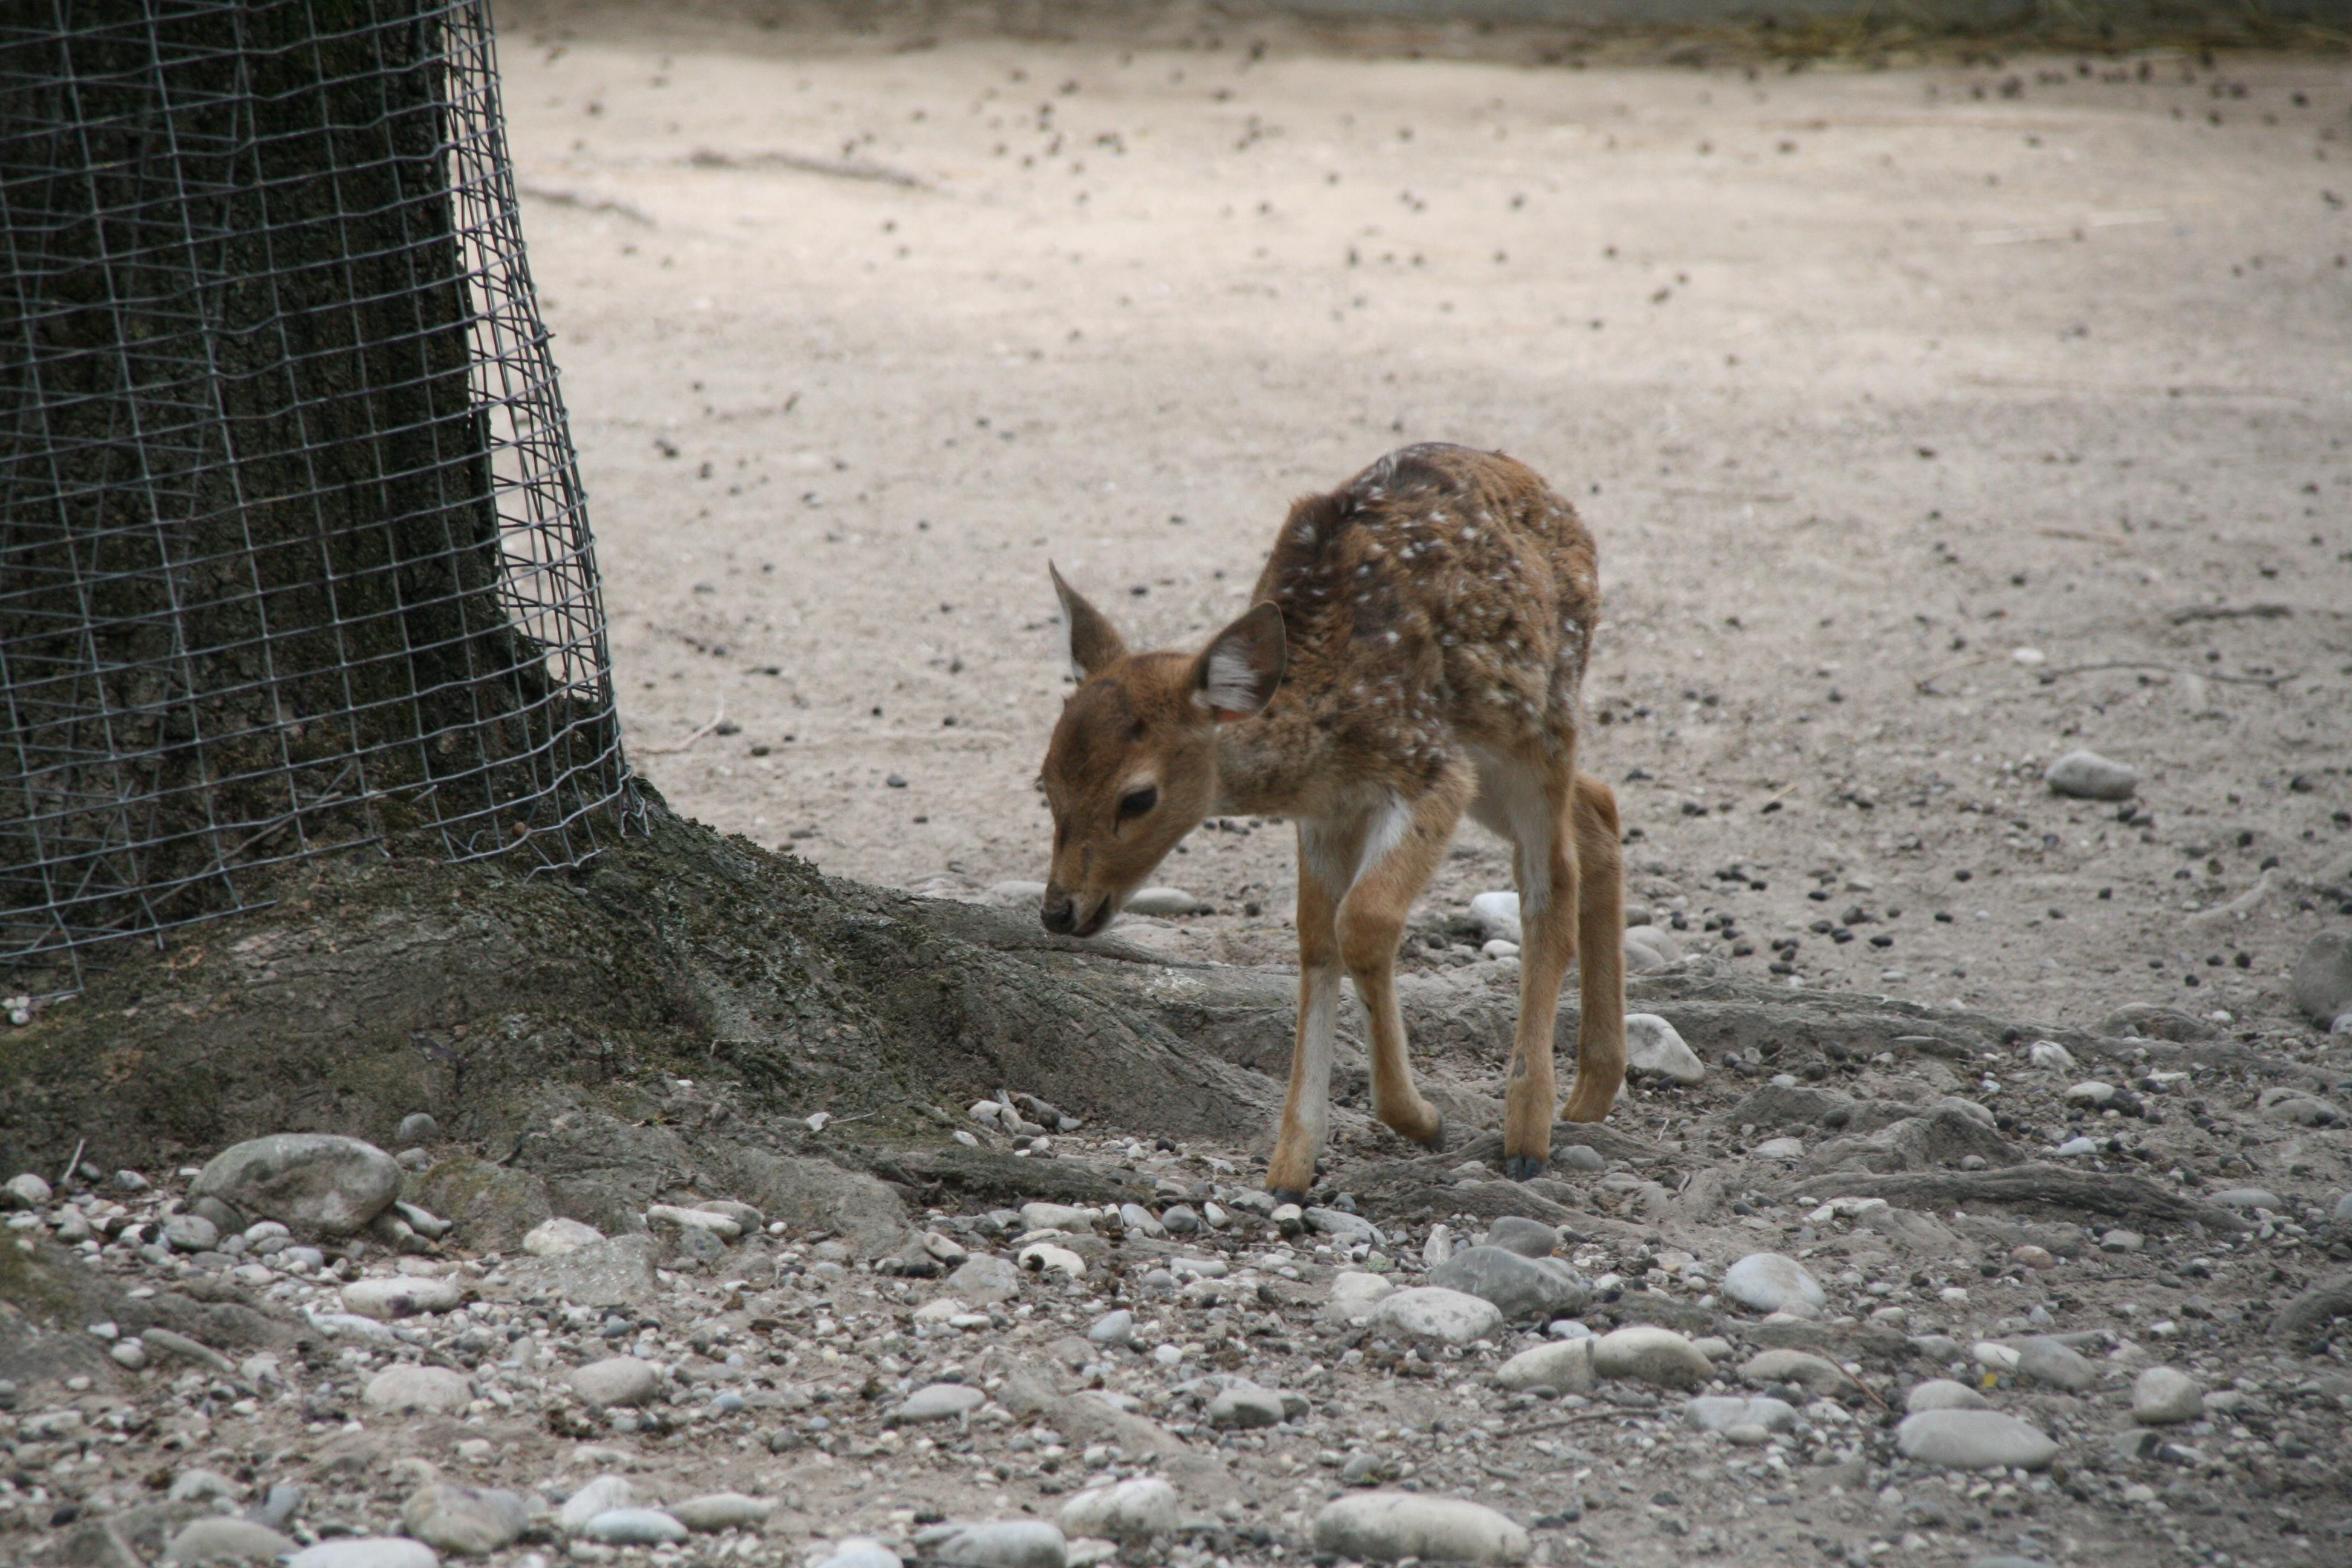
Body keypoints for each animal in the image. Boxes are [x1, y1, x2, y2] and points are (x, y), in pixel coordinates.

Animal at [1036, 443, 1626, 1200]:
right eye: (1045, 780)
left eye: (1137, 798)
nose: (1059, 909)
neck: (1326, 728)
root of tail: (1556, 498)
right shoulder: (1326, 813)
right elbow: (1317, 939)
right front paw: (1290, 1167)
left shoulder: (1430, 766)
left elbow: (1366, 921)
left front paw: (1421, 1118)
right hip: (1494, 755)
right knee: (1600, 807)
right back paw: (1592, 1091)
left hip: (1540, 721)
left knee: (1550, 883)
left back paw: (1530, 1132)